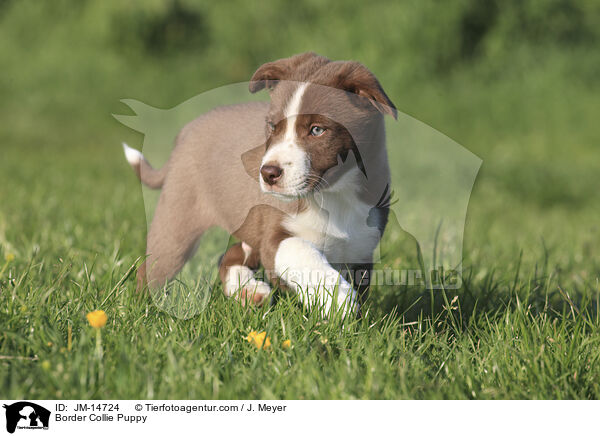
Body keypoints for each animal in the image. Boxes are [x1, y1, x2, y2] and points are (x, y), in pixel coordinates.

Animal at [122, 52, 396, 318]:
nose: (267, 173)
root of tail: (186, 132)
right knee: (153, 269)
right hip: (178, 221)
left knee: (229, 254)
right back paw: (143, 309)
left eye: (317, 130)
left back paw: (248, 292)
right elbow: (303, 252)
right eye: (273, 126)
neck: (334, 195)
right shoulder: (274, 237)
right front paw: (338, 301)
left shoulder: (361, 248)